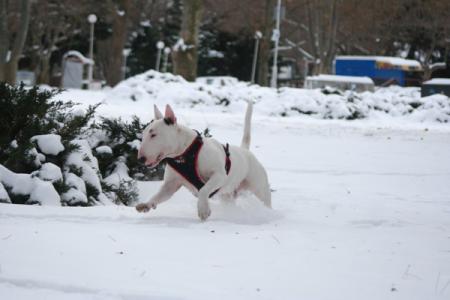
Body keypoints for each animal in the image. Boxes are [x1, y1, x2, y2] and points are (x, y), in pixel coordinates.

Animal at [135, 102, 270, 221]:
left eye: (153, 135)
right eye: (143, 134)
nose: (140, 159)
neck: (185, 153)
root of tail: (245, 150)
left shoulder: (220, 175)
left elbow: (204, 189)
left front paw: (203, 210)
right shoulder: (170, 185)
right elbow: (160, 195)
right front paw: (146, 204)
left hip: (259, 188)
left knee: (265, 201)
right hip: (227, 196)